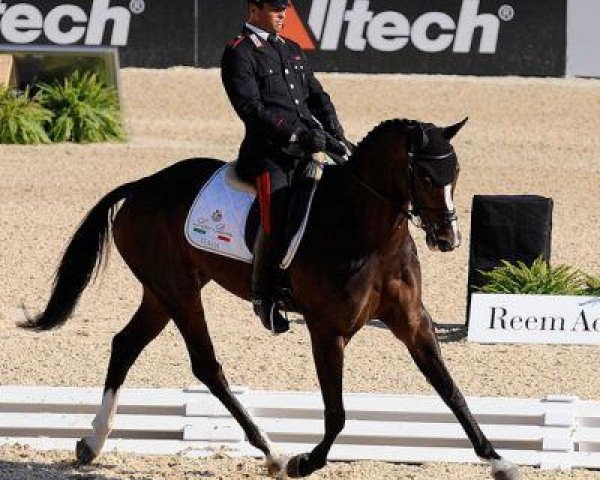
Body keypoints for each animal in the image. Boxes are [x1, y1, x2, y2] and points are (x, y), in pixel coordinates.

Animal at [22, 117, 520, 480]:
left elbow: (451, 392)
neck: (369, 233)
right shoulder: (327, 330)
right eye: (424, 173)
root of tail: (141, 186)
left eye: (456, 173)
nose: (449, 239)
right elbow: (337, 412)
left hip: (163, 292)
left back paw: (92, 443)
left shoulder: (413, 322)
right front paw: (306, 462)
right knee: (207, 367)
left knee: (125, 345)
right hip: (178, 292)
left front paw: (499, 460)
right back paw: (274, 453)